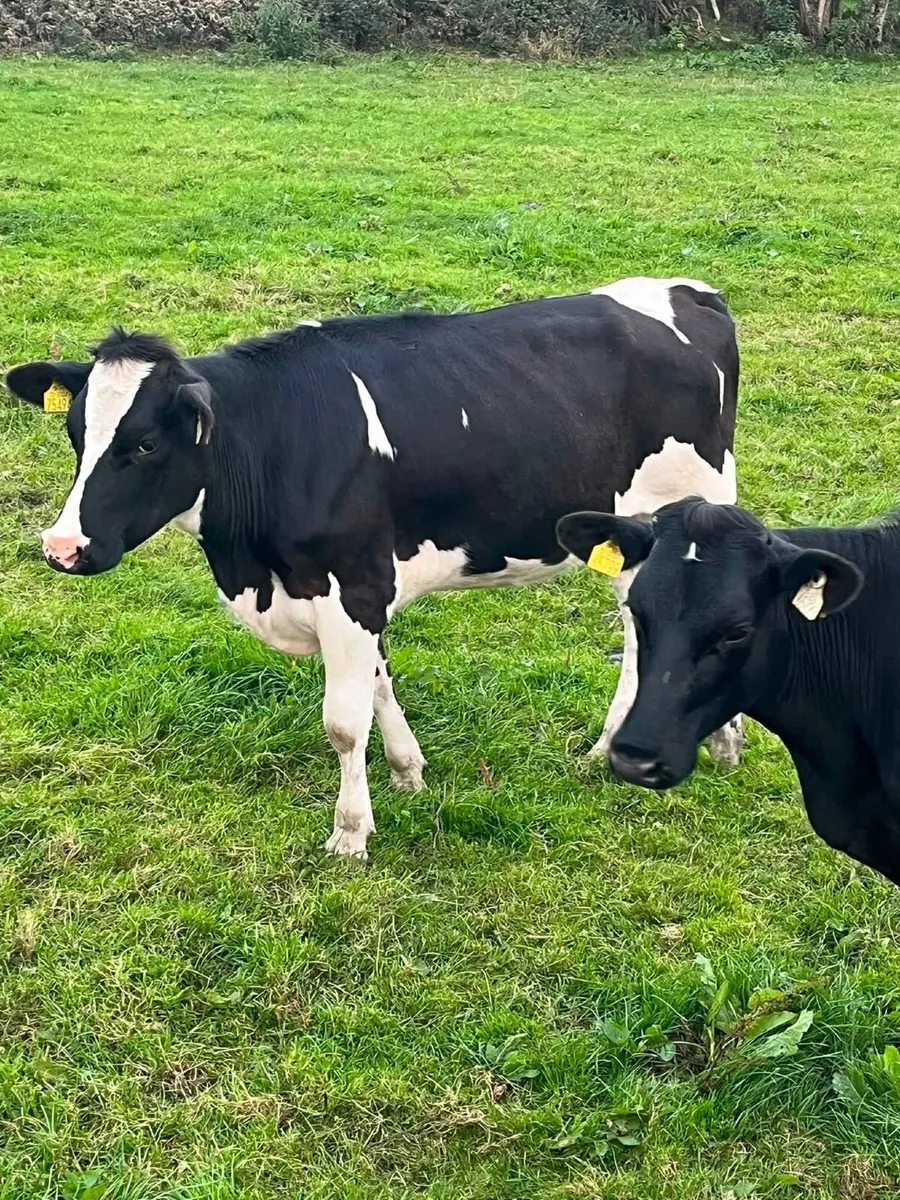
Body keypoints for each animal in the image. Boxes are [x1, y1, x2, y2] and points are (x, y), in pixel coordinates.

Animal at [7, 277, 740, 861]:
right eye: (76, 434)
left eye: (145, 445)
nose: (62, 546)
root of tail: (689, 292)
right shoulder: (355, 594)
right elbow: (380, 684)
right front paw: (407, 771)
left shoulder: (352, 586)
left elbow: (342, 720)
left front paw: (351, 833)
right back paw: (618, 748)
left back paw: (715, 742)